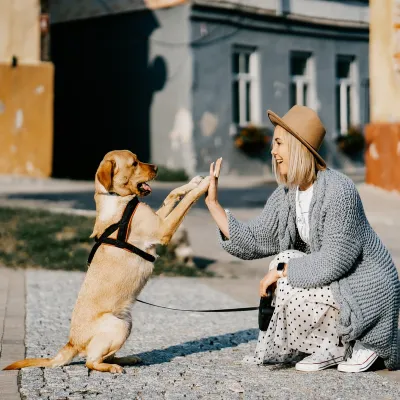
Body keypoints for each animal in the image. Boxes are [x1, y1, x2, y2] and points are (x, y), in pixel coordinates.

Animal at [4, 149, 211, 372]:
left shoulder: (158, 219)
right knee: (91, 361)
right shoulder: (162, 229)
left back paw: (126, 359)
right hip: (117, 325)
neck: (117, 199)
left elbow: (173, 194)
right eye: (134, 163)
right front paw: (206, 184)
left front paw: (194, 181)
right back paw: (112, 368)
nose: (156, 168)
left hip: (126, 323)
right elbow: (186, 201)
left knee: (105, 356)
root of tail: (72, 342)